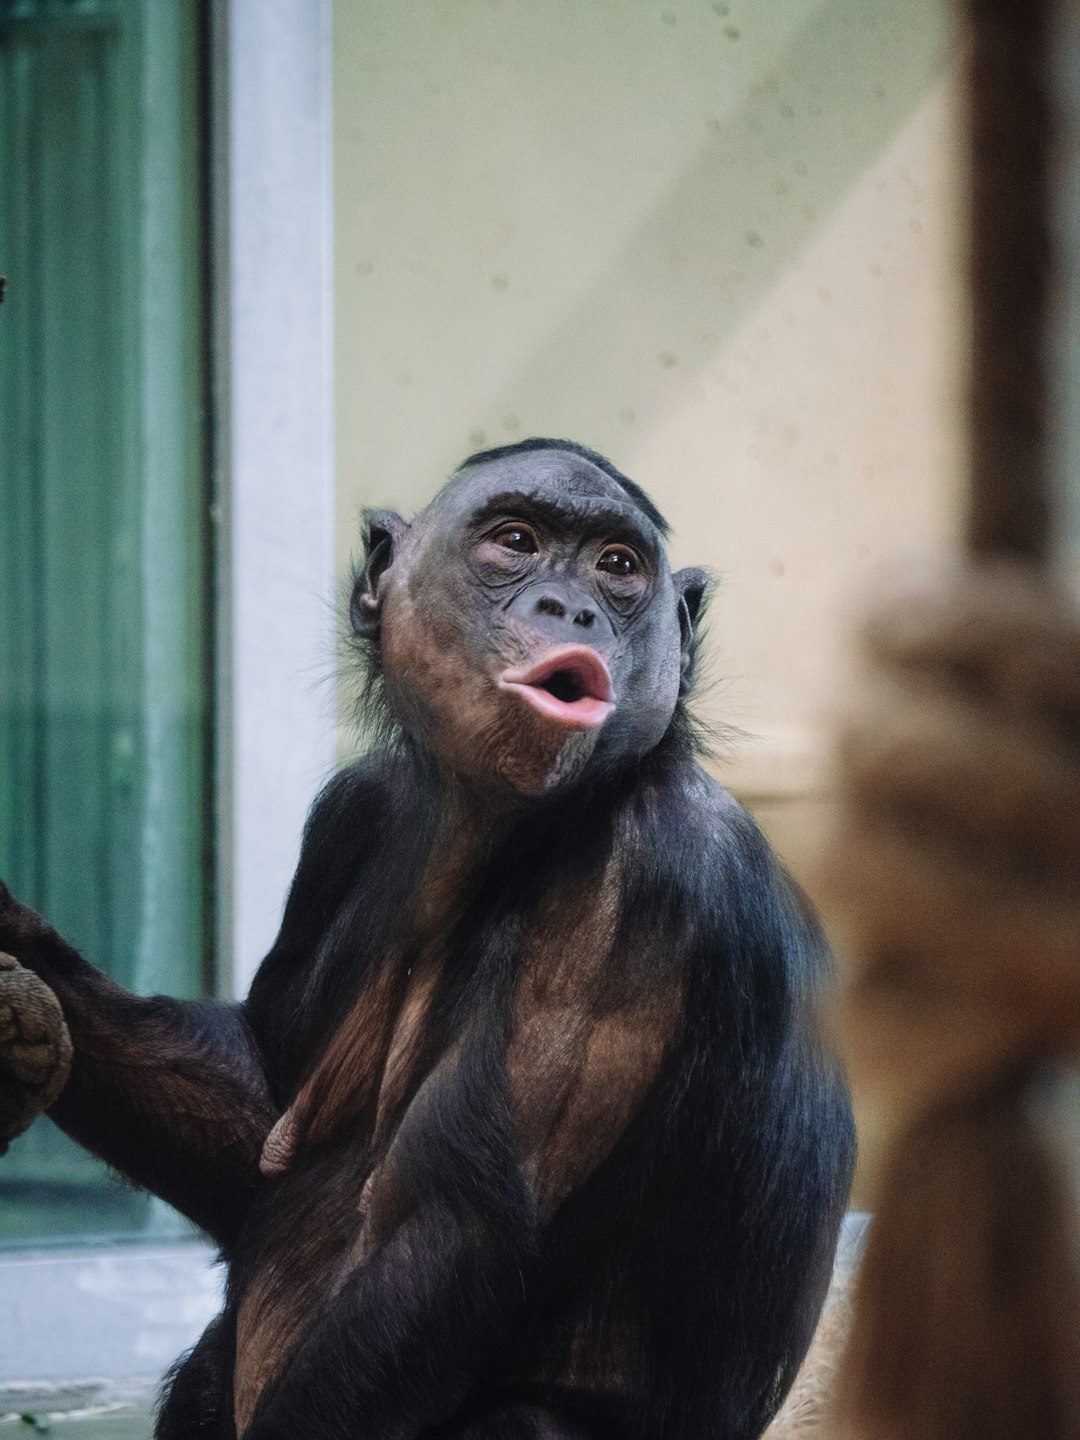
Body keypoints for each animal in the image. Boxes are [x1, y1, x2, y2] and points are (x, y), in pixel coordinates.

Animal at [0, 440, 852, 1440]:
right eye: (516, 542)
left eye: (617, 565)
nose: (572, 607)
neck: (494, 834)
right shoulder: (349, 816)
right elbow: (254, 1133)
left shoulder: (643, 888)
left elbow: (450, 1237)